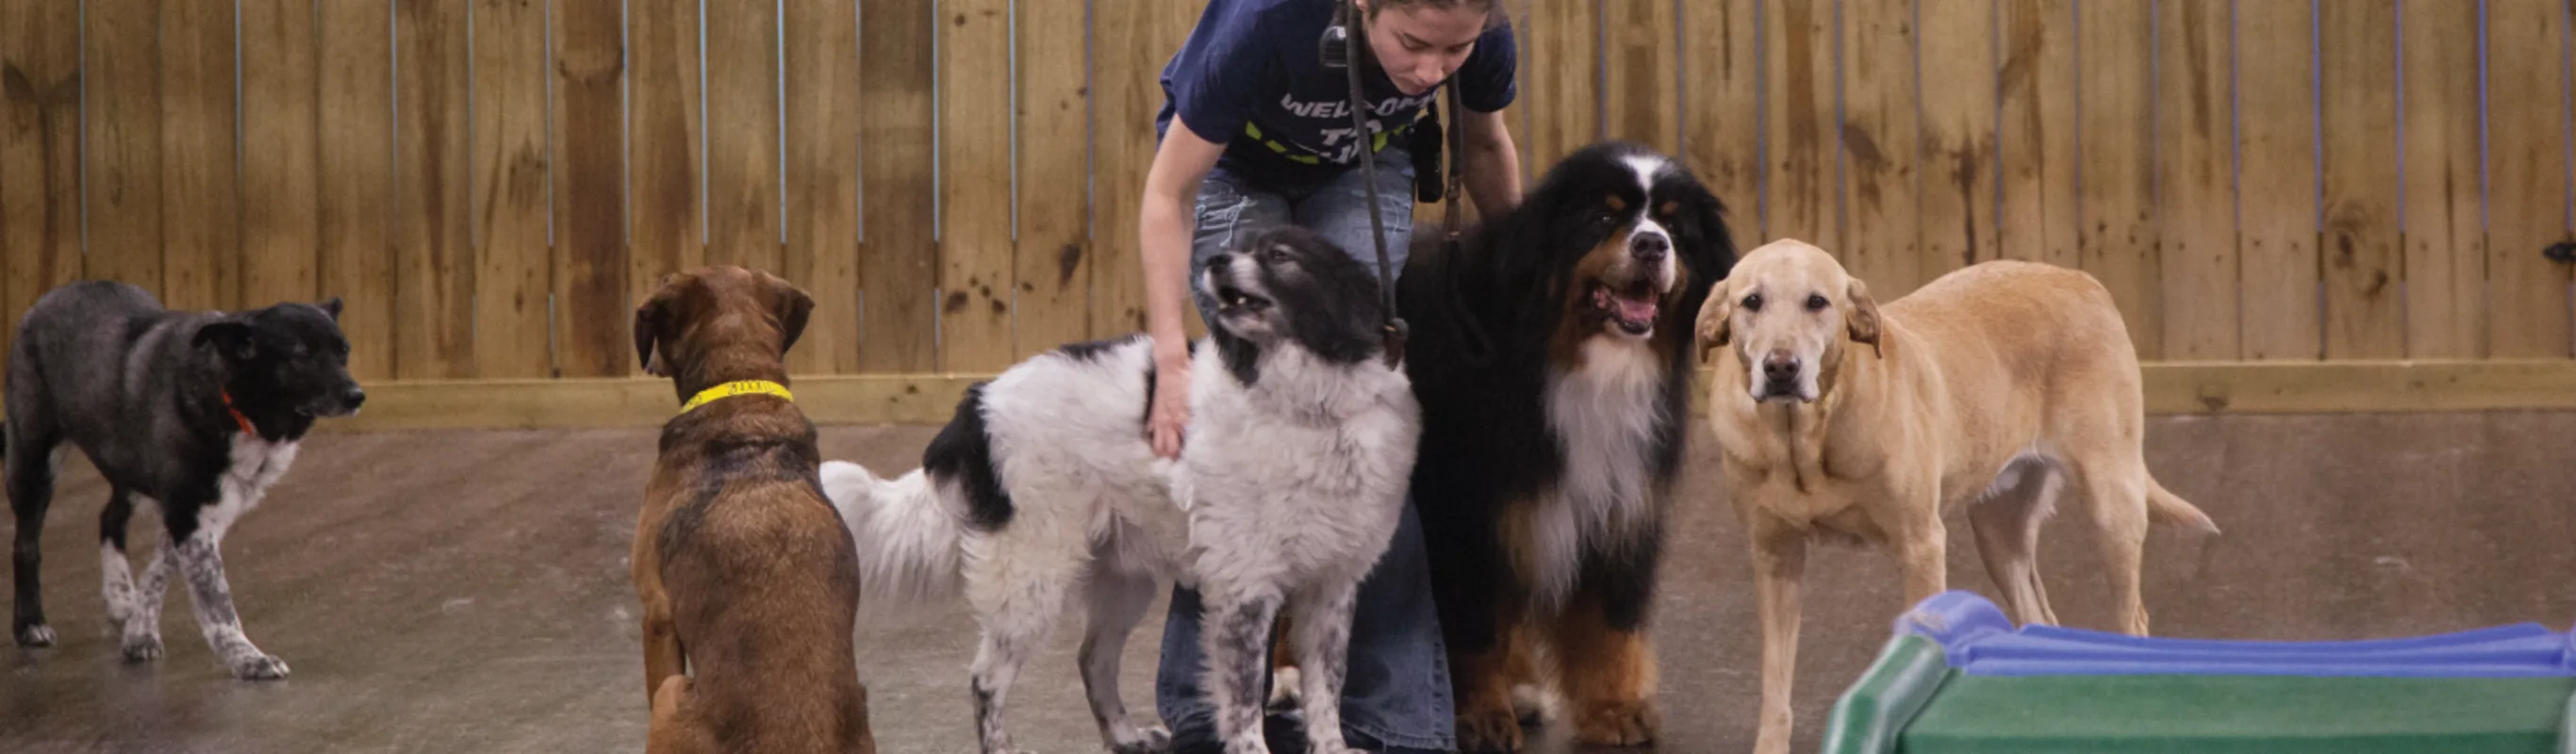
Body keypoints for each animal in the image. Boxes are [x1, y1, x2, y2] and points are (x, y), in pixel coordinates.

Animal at [2, 279, 368, 679]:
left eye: (344, 351)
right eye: (301, 355)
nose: (357, 396)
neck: (231, 399)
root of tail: (54, 295)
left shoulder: (198, 513)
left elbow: (160, 571)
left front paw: (140, 630)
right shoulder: (189, 514)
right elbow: (217, 603)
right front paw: (249, 658)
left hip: (127, 466)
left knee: (110, 517)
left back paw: (119, 596)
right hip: (36, 462)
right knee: (26, 544)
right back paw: (30, 624)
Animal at [818, 224, 1422, 751]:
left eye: (1279, 255)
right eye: (1239, 243)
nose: (1215, 260)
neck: (1308, 408)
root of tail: (978, 402)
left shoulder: (1330, 589)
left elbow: (1326, 693)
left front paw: (1334, 748)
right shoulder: (1244, 589)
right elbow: (1246, 702)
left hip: (1122, 578)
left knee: (1092, 660)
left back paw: (1125, 737)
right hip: (1032, 577)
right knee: (986, 679)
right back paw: (1005, 747)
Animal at [1401, 139, 1741, 746]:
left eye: (1673, 227)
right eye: (1603, 218)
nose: (1651, 245)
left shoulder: (1615, 501)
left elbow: (1610, 622)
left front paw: (1615, 708)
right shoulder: (1464, 514)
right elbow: (1472, 625)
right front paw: (1480, 714)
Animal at [1690, 241, 2215, 751]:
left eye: (1817, 302)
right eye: (1751, 301)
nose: (1780, 367)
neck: (1803, 441)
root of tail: (2080, 279)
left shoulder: (1920, 546)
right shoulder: (1775, 558)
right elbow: (1776, 681)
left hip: (2112, 502)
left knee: (2134, 618)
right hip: (1998, 533)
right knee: (2038, 615)